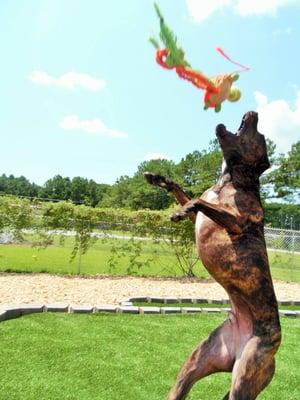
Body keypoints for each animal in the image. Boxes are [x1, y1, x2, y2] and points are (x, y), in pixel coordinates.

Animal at [145, 111, 282, 400]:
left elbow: (198, 200)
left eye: (260, 135)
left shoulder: (238, 222)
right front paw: (159, 178)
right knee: (180, 387)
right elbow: (185, 192)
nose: (254, 112)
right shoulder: (205, 215)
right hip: (198, 361)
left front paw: (181, 209)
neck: (229, 181)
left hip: (245, 375)